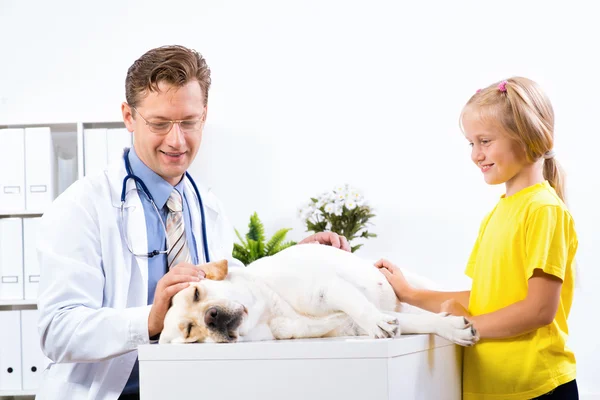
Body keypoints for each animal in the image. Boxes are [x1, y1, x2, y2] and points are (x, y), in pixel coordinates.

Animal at [158, 242, 478, 346]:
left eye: (197, 292)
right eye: (190, 331)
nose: (211, 317)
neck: (272, 313)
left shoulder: (328, 288)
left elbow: (360, 306)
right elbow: (416, 323)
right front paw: (452, 328)